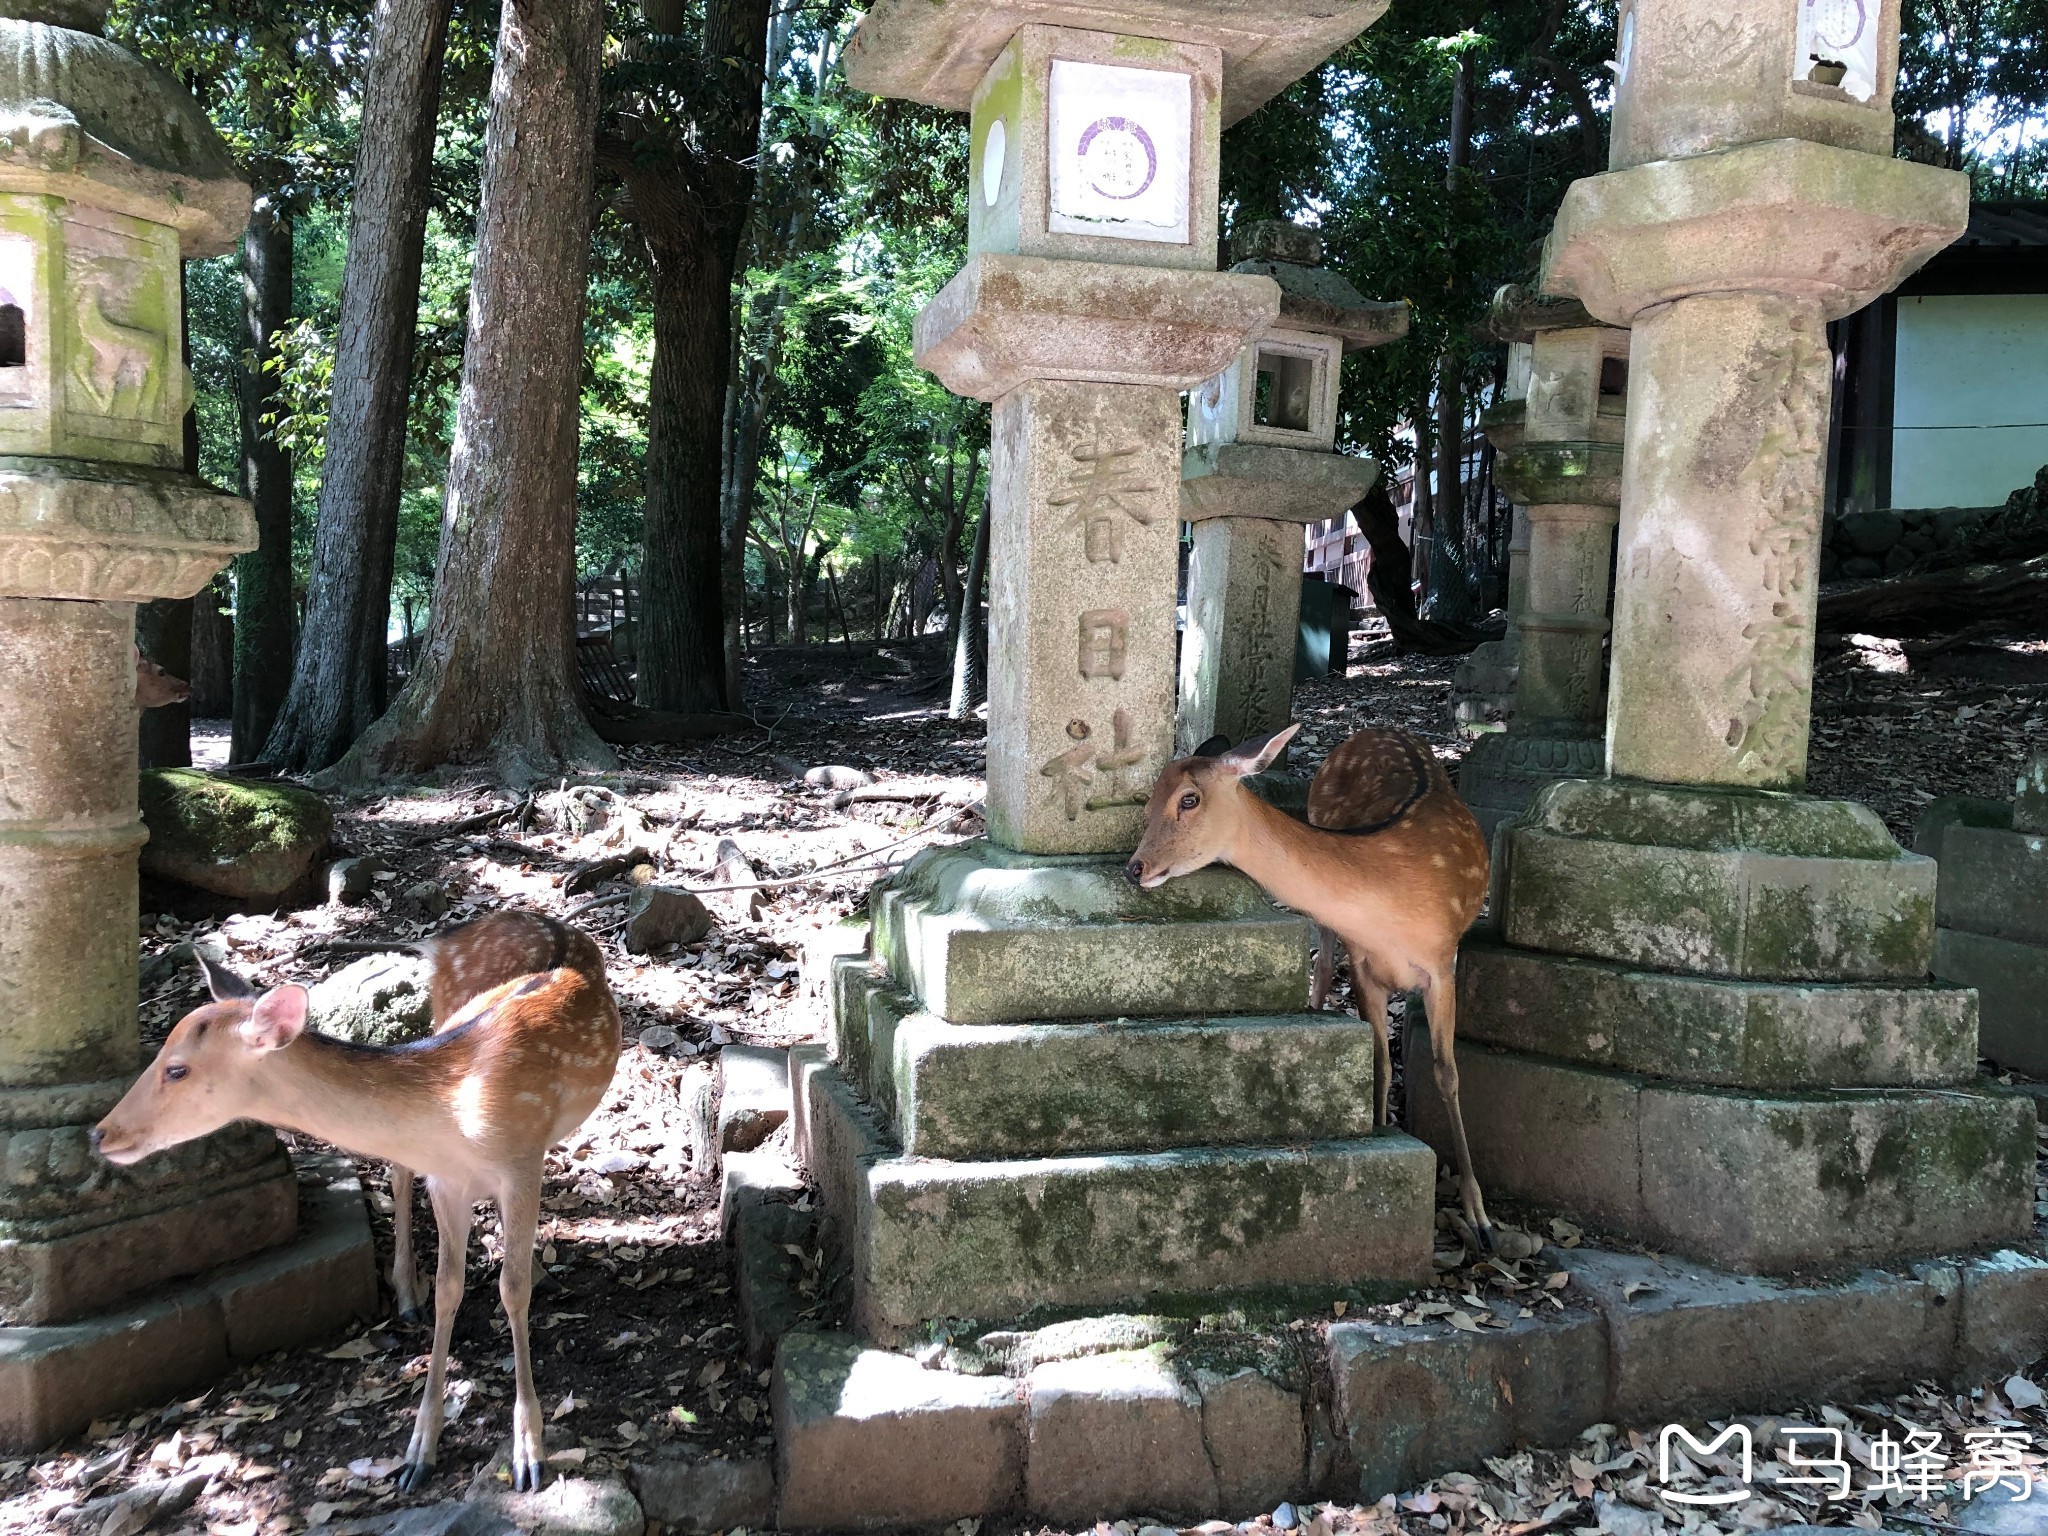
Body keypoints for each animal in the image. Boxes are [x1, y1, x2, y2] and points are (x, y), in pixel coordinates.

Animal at [96, 913, 618, 1490]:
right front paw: (418, 1453)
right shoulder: (448, 1179)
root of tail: (444, 938)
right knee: (400, 1170)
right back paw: (406, 1293)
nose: (101, 1134)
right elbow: (449, 1288)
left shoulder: (519, 1161)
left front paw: (528, 1453)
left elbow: (510, 1287)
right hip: (441, 1007)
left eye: (177, 1069)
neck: (455, 1116)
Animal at [1130, 724, 1499, 1253]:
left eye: (1189, 798)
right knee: (1322, 963)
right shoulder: (1362, 962)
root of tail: (1377, 727)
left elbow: (1447, 1074)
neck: (1393, 904)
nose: (1134, 867)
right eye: (1147, 803)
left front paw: (1481, 1220)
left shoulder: (1441, 966)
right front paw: (1379, 1130)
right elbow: (1380, 1061)